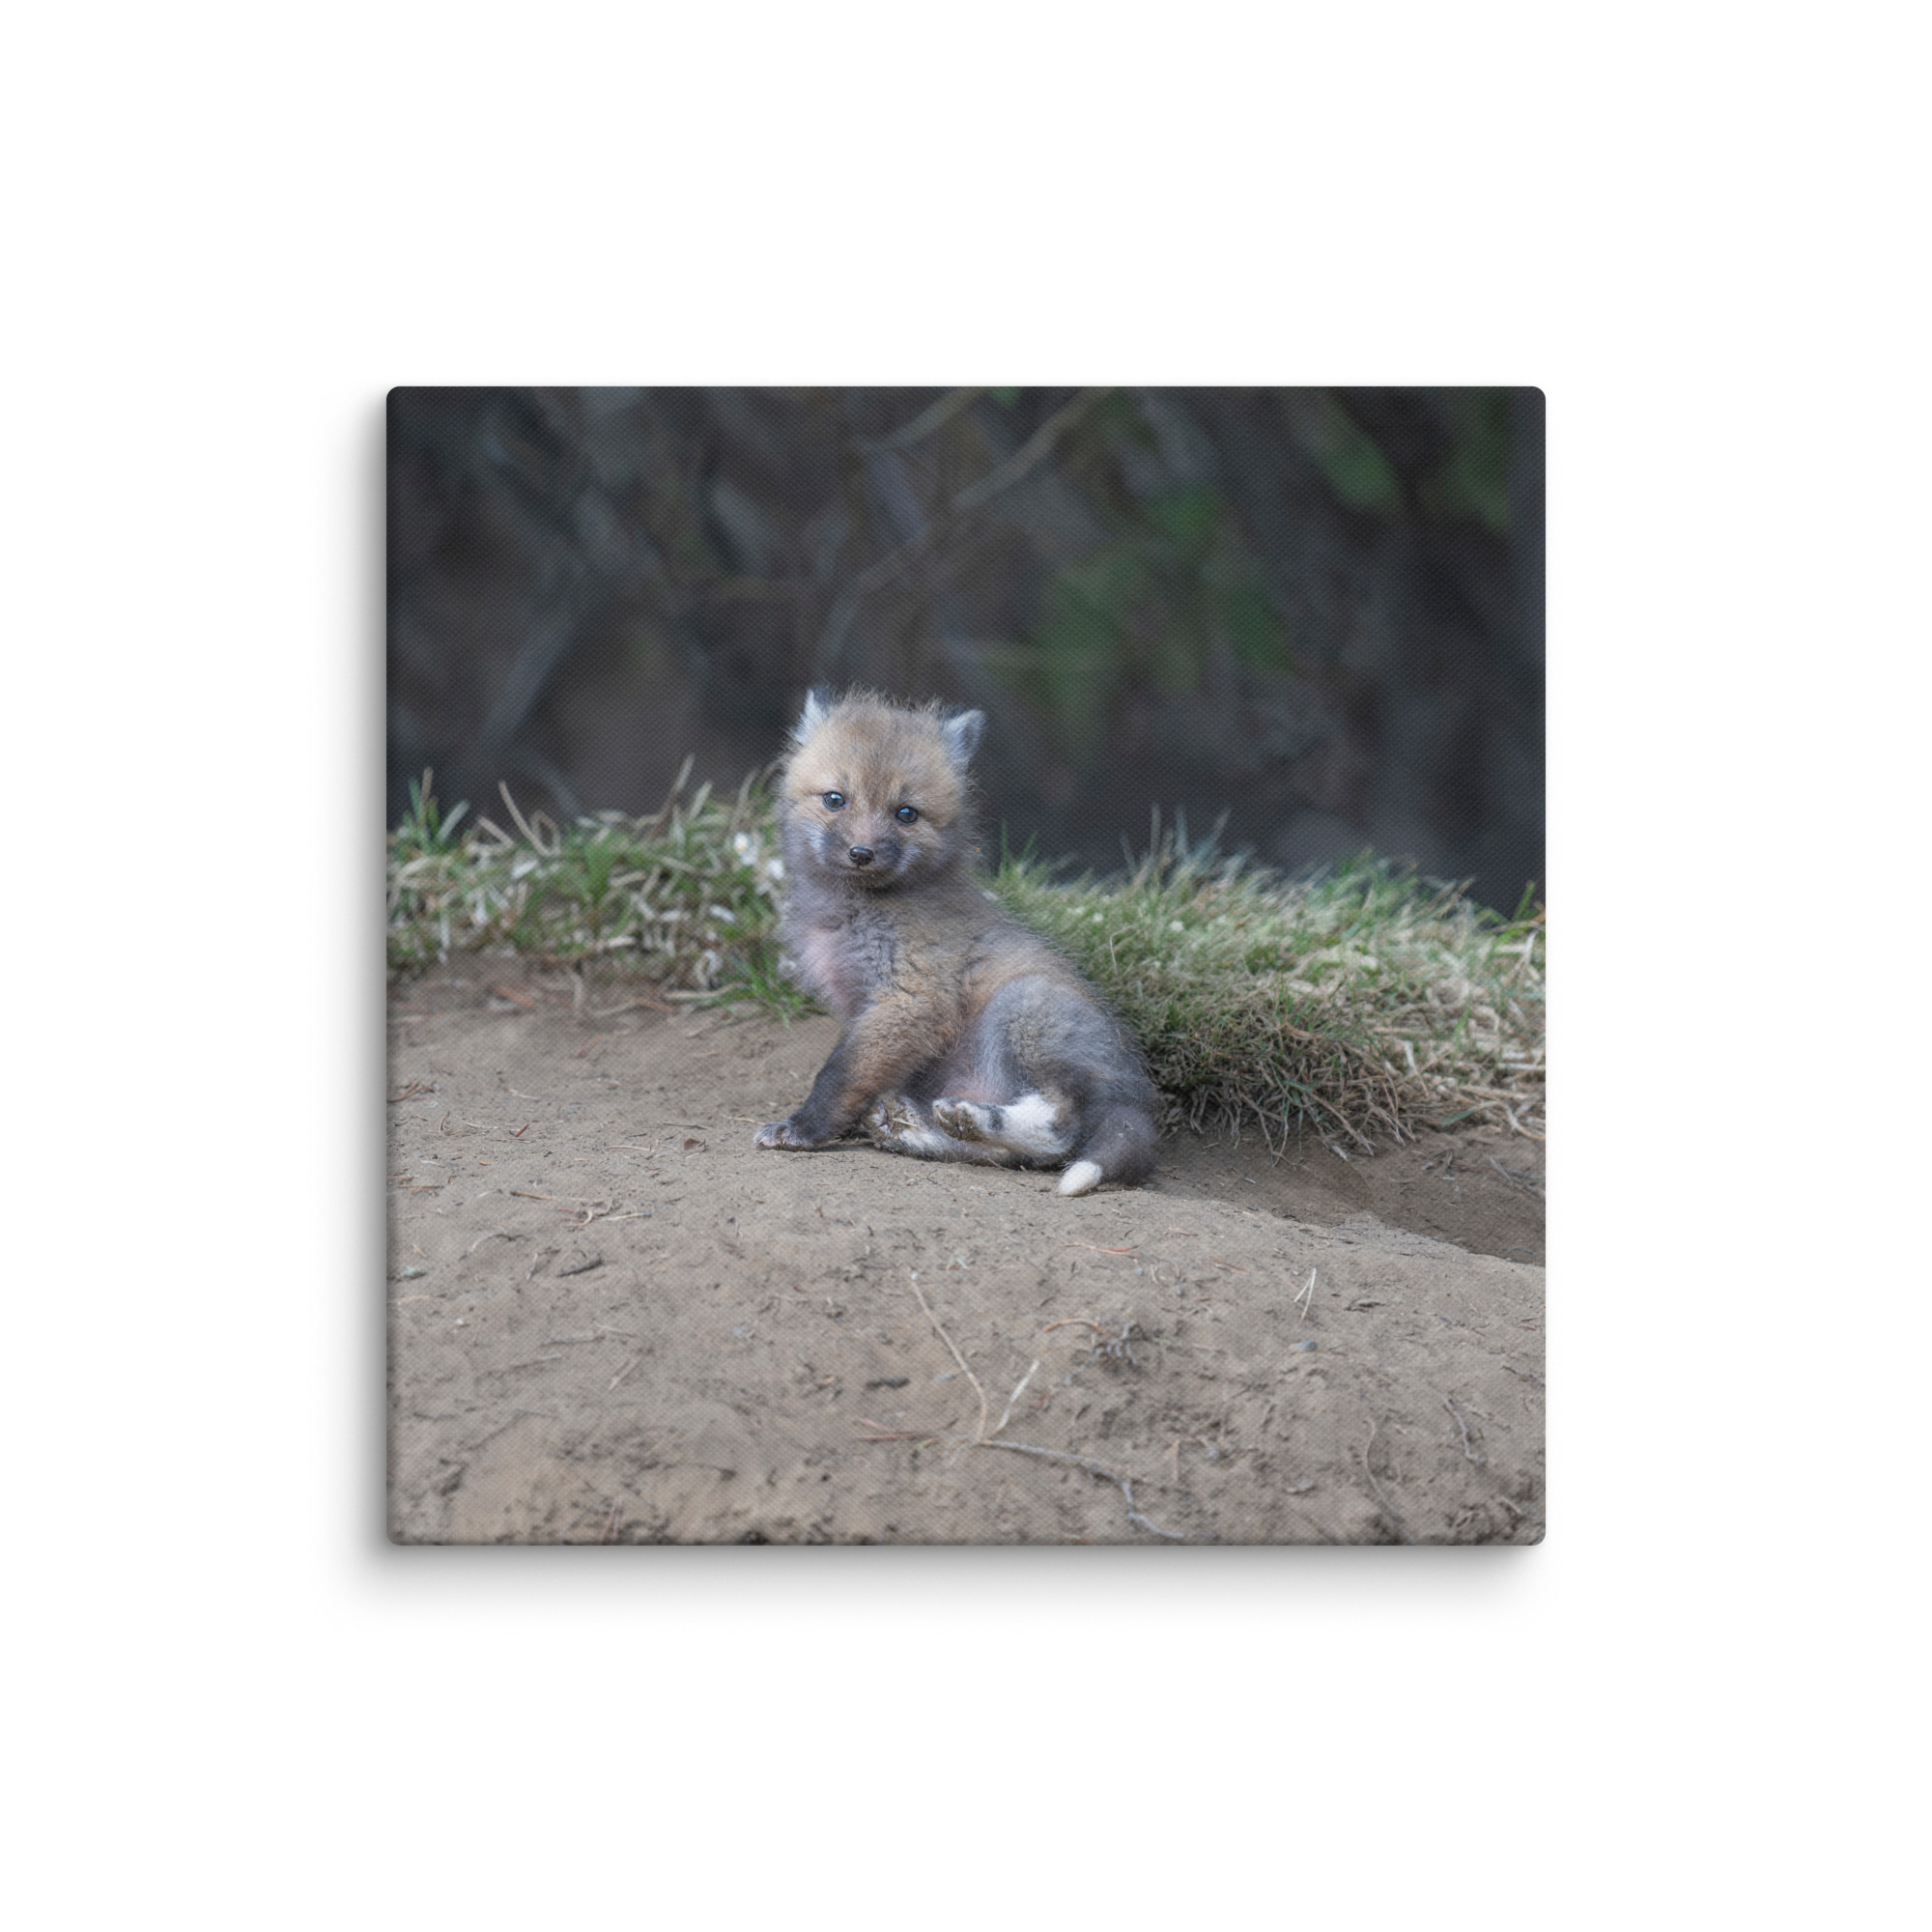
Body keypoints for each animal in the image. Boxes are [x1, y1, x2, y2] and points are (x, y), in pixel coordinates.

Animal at [753, 690, 1160, 1196]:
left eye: (906, 813)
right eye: (835, 799)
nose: (861, 853)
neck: (855, 911)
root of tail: (1135, 1097)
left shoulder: (911, 998)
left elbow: (839, 1074)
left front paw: (804, 1128)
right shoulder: (868, 1010)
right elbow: (861, 1074)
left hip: (1022, 1007)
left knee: (1060, 1130)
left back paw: (972, 1118)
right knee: (1011, 1156)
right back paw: (920, 1129)